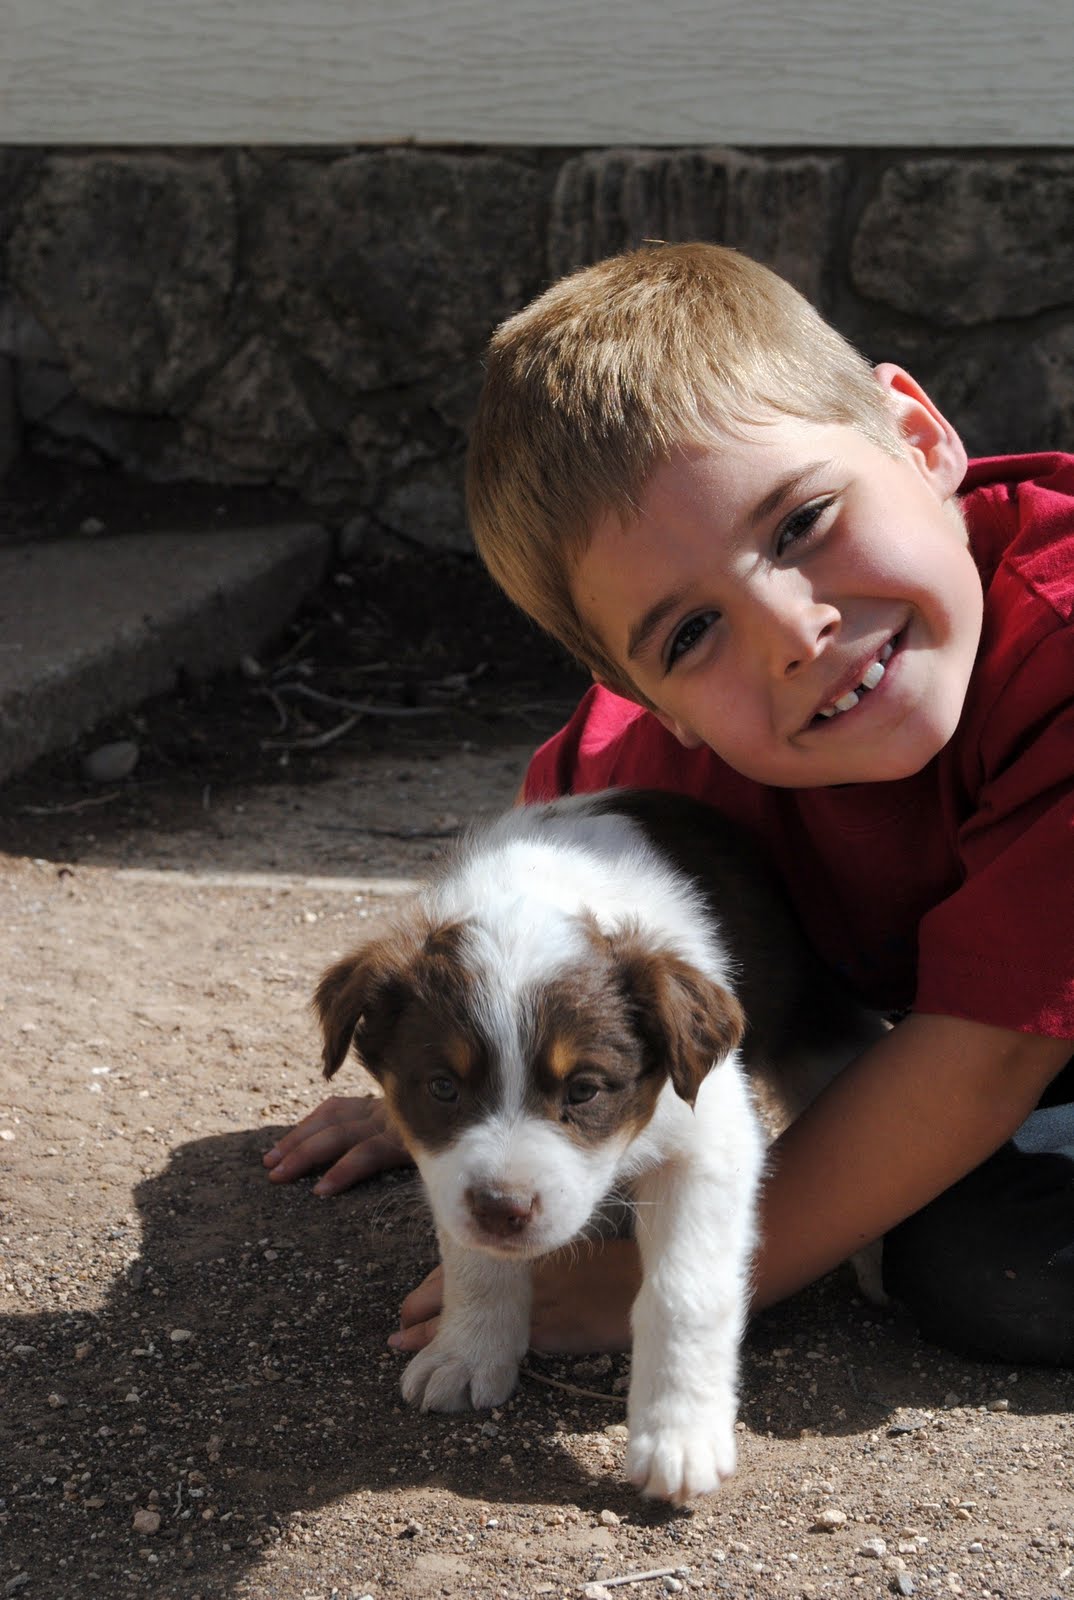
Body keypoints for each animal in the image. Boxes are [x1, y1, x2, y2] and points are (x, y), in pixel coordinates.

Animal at [314, 788, 882, 1503]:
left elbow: (685, 1290)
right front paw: (467, 1353)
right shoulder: (450, 1174)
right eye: (442, 1087)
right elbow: (473, 1260)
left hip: (814, 1021)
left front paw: (679, 1438)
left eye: (584, 1090)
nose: (504, 1209)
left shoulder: (710, 1139)